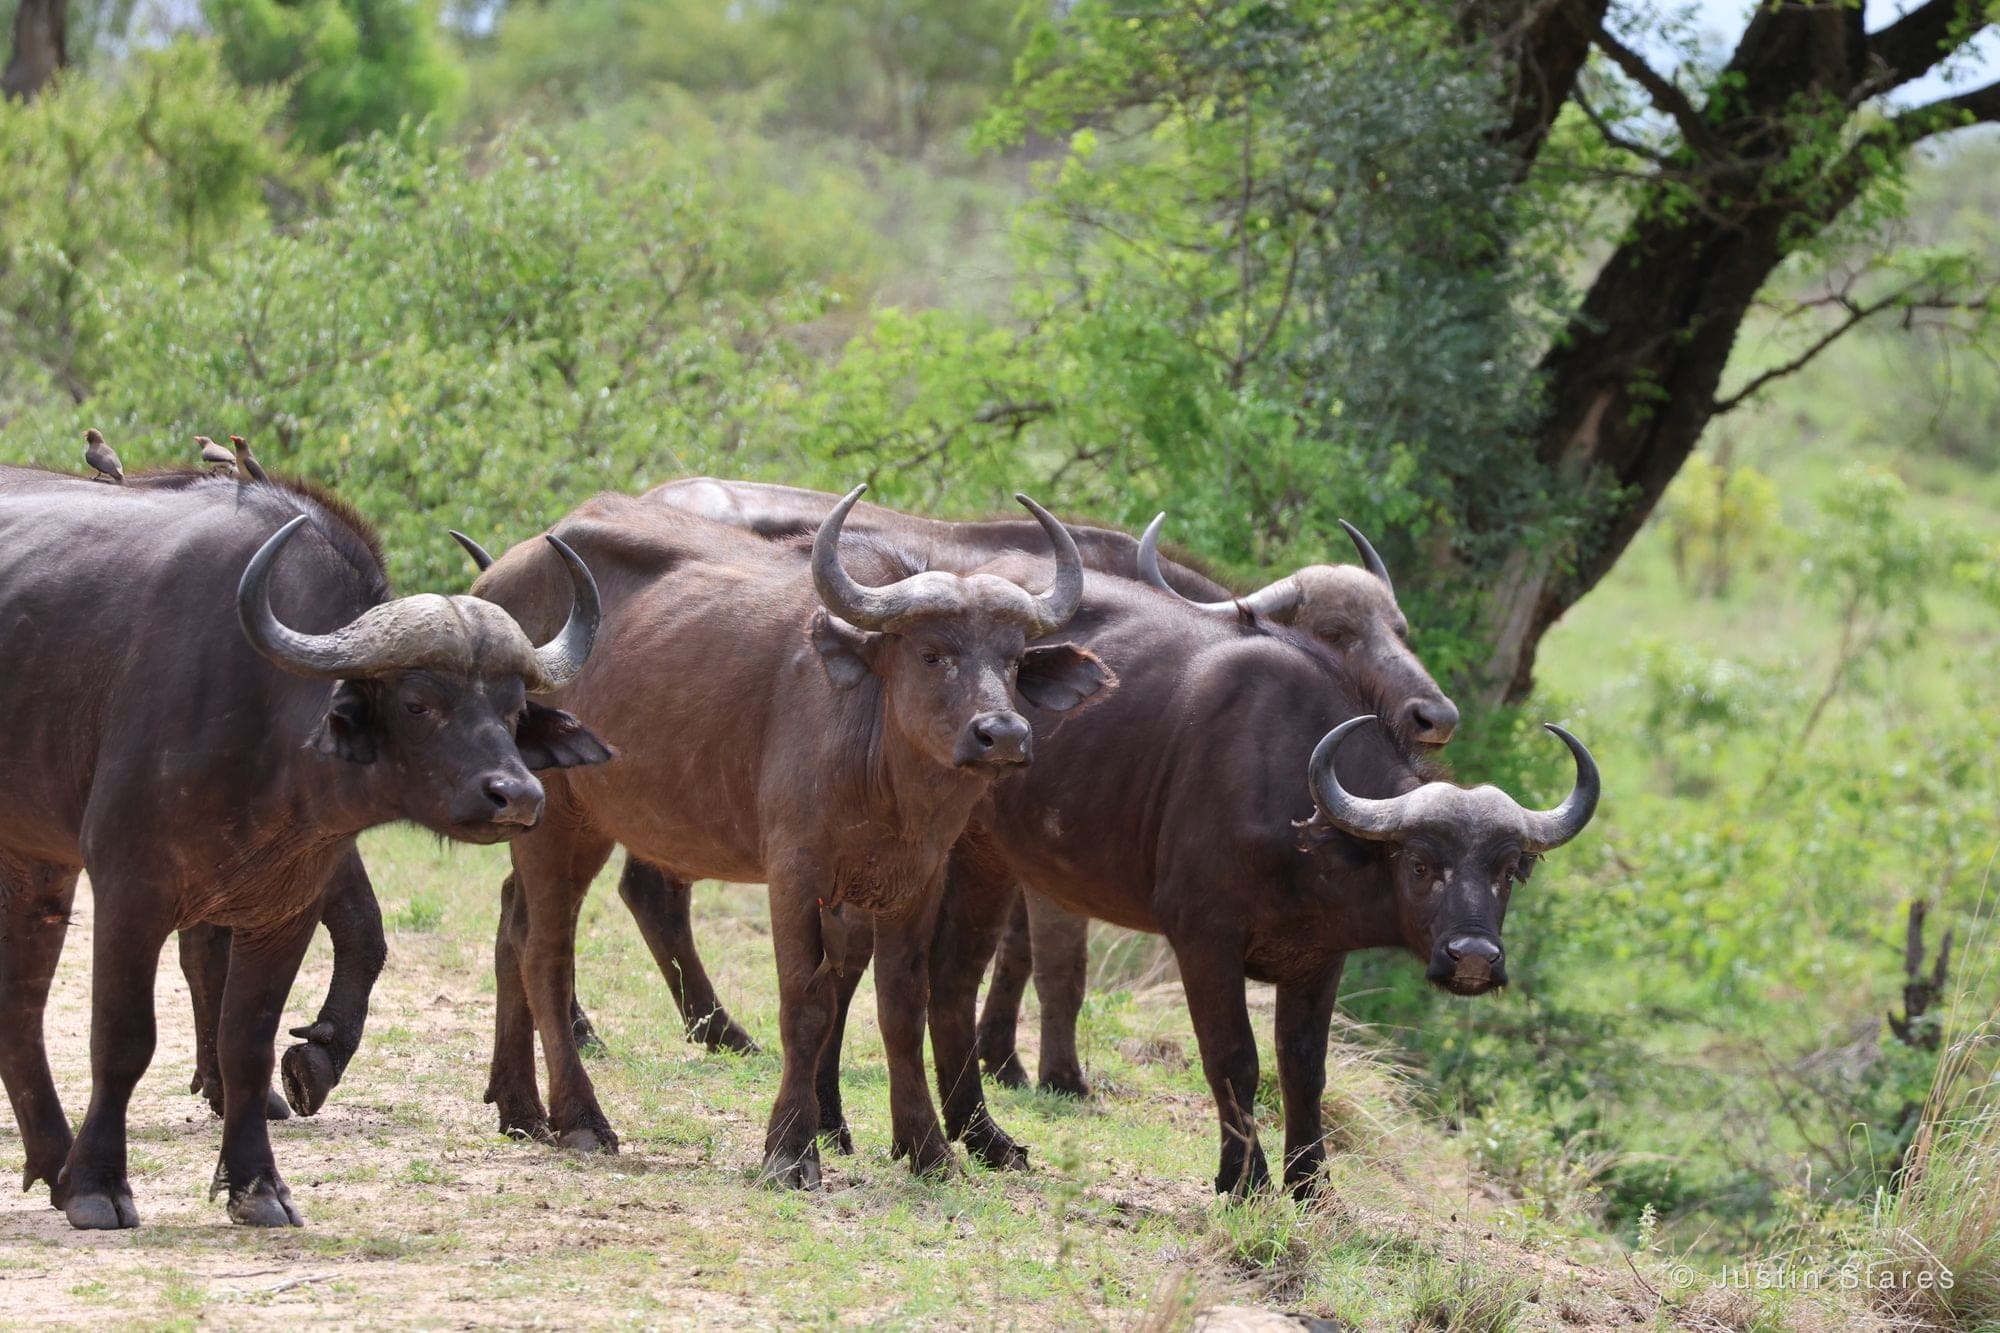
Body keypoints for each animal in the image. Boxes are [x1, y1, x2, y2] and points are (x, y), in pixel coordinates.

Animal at [0, 465, 606, 1228]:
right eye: (418, 701)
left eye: (514, 707)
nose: (518, 795)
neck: (258, 722)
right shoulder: (128, 890)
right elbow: (124, 1038)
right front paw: (99, 1185)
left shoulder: (285, 905)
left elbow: (248, 1043)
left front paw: (257, 1184)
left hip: (36, 863)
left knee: (19, 1003)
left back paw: (51, 1160)